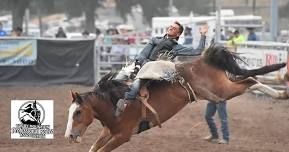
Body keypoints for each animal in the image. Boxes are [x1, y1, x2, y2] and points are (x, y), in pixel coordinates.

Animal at [64, 44, 284, 151]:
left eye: (78, 112)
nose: (69, 136)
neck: (114, 103)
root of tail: (205, 59)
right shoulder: (108, 132)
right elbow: (94, 148)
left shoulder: (122, 136)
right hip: (220, 90)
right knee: (248, 79)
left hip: (220, 92)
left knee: (251, 80)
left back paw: (281, 93)